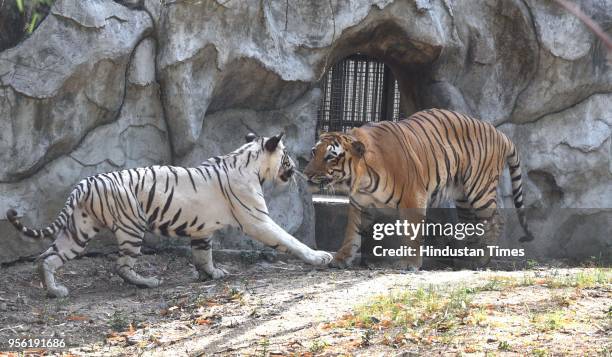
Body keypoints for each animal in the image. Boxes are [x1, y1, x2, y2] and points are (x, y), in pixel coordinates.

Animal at [7, 132, 332, 296]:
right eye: (286, 156)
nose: (296, 167)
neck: (249, 163)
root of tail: (84, 183)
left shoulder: (202, 230)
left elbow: (203, 254)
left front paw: (213, 273)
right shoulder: (257, 220)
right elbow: (288, 240)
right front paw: (319, 257)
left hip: (78, 229)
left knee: (47, 257)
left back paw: (55, 290)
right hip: (131, 225)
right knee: (121, 266)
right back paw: (148, 282)